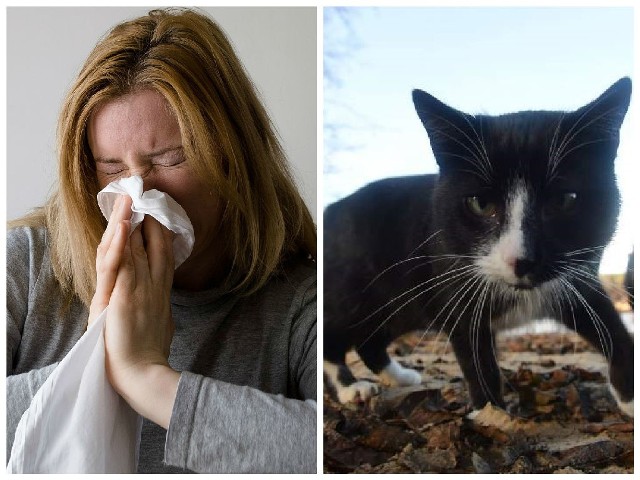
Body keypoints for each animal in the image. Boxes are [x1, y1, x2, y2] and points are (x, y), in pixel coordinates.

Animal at [324, 78, 636, 416]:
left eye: (566, 200)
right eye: (480, 203)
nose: (521, 260)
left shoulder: (577, 278)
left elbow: (612, 328)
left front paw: (631, 394)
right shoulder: (457, 288)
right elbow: (478, 360)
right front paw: (490, 413)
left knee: (370, 340)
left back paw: (401, 376)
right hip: (354, 293)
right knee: (332, 334)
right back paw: (350, 387)